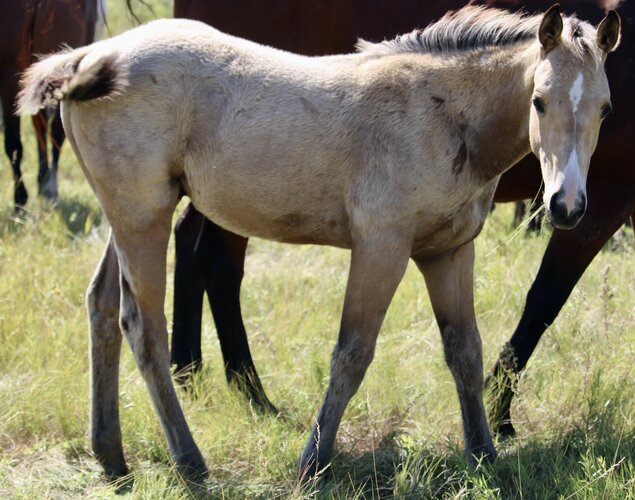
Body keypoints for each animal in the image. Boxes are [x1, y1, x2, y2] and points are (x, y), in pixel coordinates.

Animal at [170, 0, 635, 436]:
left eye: (606, 109)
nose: (566, 205)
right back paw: (247, 393)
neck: (436, 112)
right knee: (215, 262)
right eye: (538, 102)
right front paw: (501, 416)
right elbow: (544, 301)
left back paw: (193, 376)